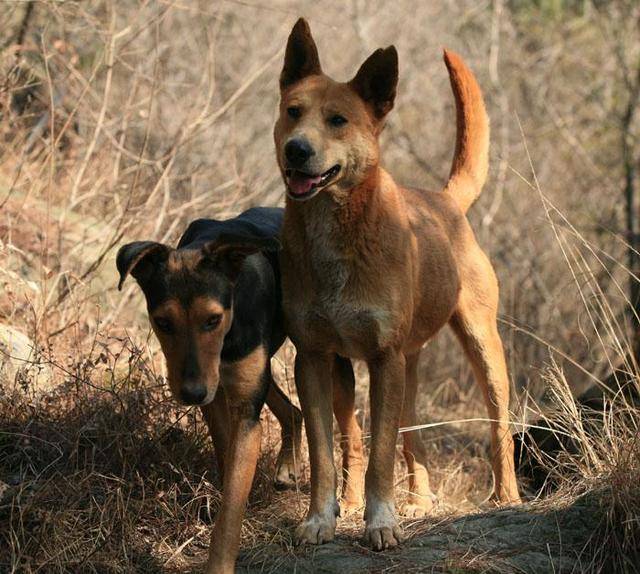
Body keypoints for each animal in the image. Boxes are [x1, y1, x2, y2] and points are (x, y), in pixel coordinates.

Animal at [117, 208, 302, 574]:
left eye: (213, 319)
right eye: (163, 322)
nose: (191, 393)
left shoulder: (245, 413)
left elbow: (232, 503)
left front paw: (219, 561)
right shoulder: (217, 398)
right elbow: (226, 457)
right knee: (293, 410)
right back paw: (286, 468)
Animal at [274, 16, 520, 548]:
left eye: (338, 120)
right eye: (292, 111)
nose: (296, 149)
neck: (338, 230)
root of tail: (446, 201)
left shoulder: (383, 358)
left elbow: (382, 456)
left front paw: (381, 523)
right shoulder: (314, 358)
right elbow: (327, 453)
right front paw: (320, 520)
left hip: (480, 348)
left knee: (497, 429)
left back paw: (507, 497)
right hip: (382, 369)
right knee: (384, 438)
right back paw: (403, 501)